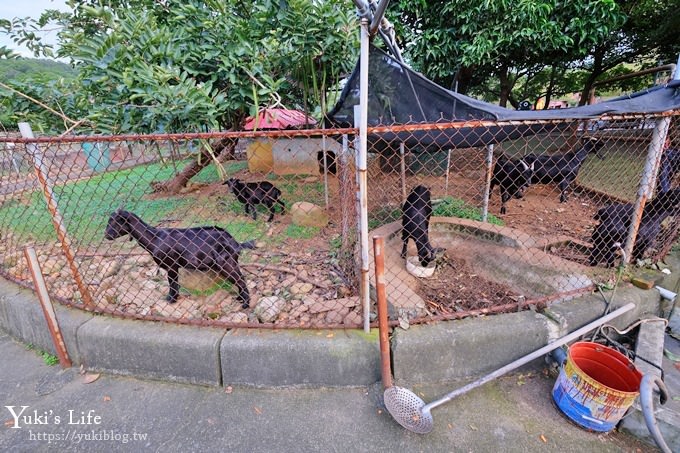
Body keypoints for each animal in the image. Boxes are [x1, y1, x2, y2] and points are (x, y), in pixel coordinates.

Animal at [103, 210, 255, 308]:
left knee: (241, 279)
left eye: (114, 222)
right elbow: (174, 283)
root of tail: (234, 241)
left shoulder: (171, 265)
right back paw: (240, 299)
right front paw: (173, 298)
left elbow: (172, 283)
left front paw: (170, 300)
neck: (155, 238)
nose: (106, 235)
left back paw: (245, 304)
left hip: (226, 263)